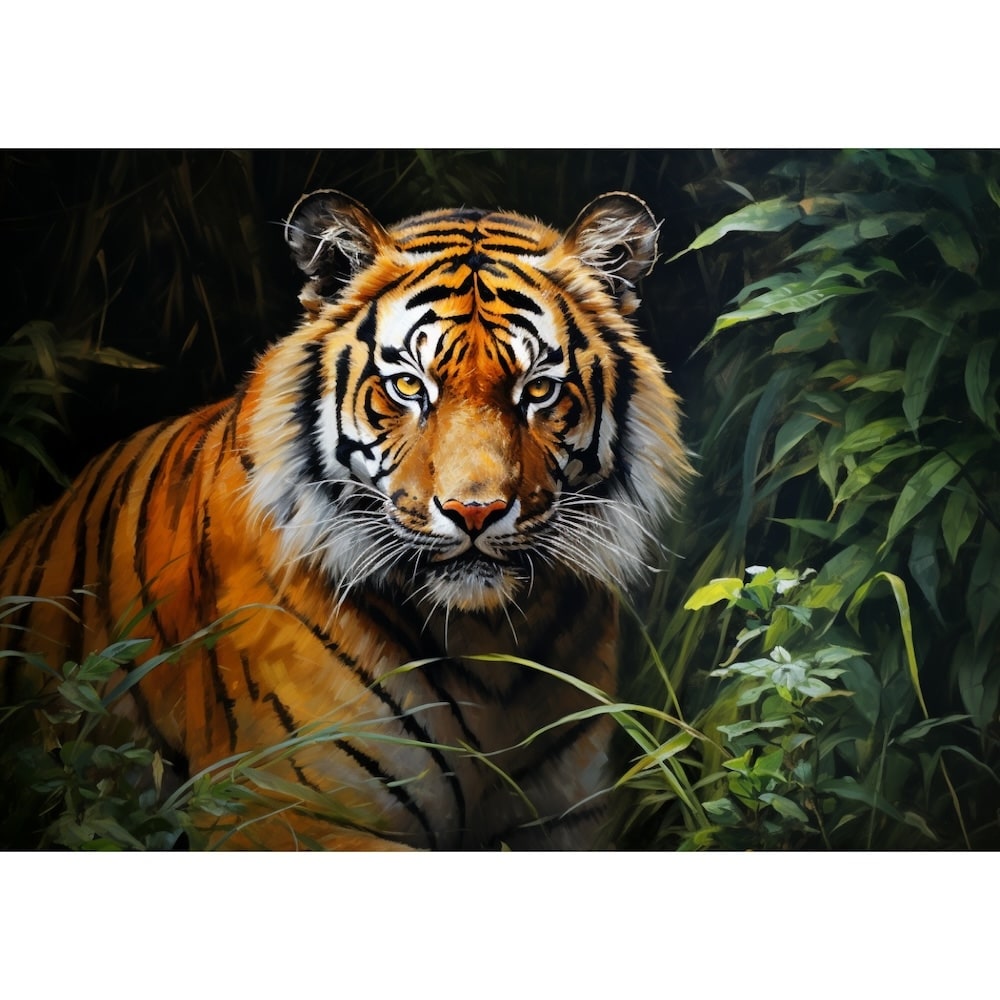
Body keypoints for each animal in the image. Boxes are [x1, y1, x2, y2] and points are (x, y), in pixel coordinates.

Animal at [0, 189, 691, 850]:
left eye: (539, 390)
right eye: (409, 387)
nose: (476, 511)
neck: (487, 644)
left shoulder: (568, 819)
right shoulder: (270, 808)